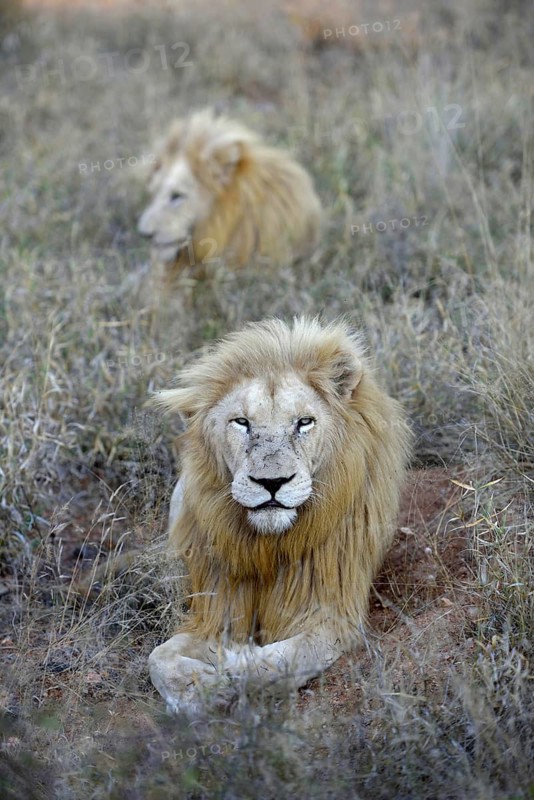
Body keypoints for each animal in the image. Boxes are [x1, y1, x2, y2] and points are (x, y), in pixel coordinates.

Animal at [148, 317, 412, 713]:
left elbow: (283, 659)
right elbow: (158, 658)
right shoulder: (217, 612)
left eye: (304, 422)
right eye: (241, 422)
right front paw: (198, 689)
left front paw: (232, 673)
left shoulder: (331, 615)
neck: (269, 546)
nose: (271, 482)